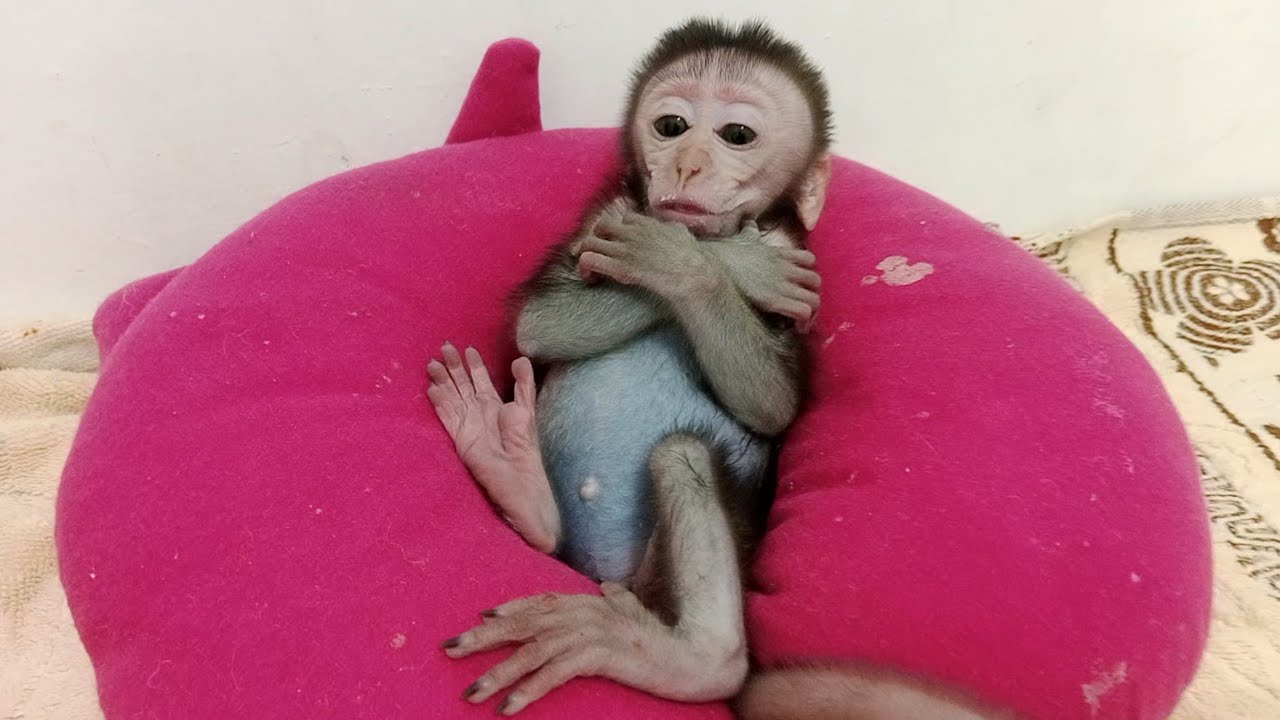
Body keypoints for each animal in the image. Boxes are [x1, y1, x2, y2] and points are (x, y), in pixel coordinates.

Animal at [426, 18, 1008, 720]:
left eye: (737, 135)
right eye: (671, 125)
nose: (687, 163)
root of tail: (608, 575)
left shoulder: (795, 256)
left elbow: (773, 403)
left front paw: (698, 265)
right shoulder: (608, 213)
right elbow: (542, 323)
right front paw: (725, 260)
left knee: (683, 456)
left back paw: (687, 658)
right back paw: (513, 474)